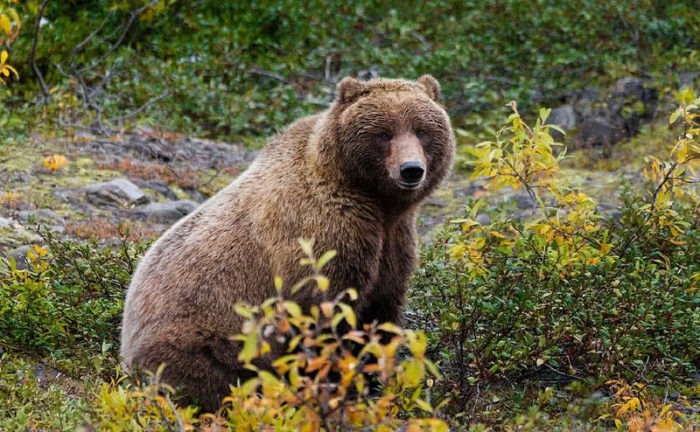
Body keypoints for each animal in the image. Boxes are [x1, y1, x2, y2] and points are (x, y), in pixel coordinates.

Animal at [119, 74, 454, 412]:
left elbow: (381, 315)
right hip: (204, 337)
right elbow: (323, 315)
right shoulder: (321, 235)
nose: (411, 170)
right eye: (384, 133)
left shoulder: (393, 243)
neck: (375, 201)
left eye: (422, 130)